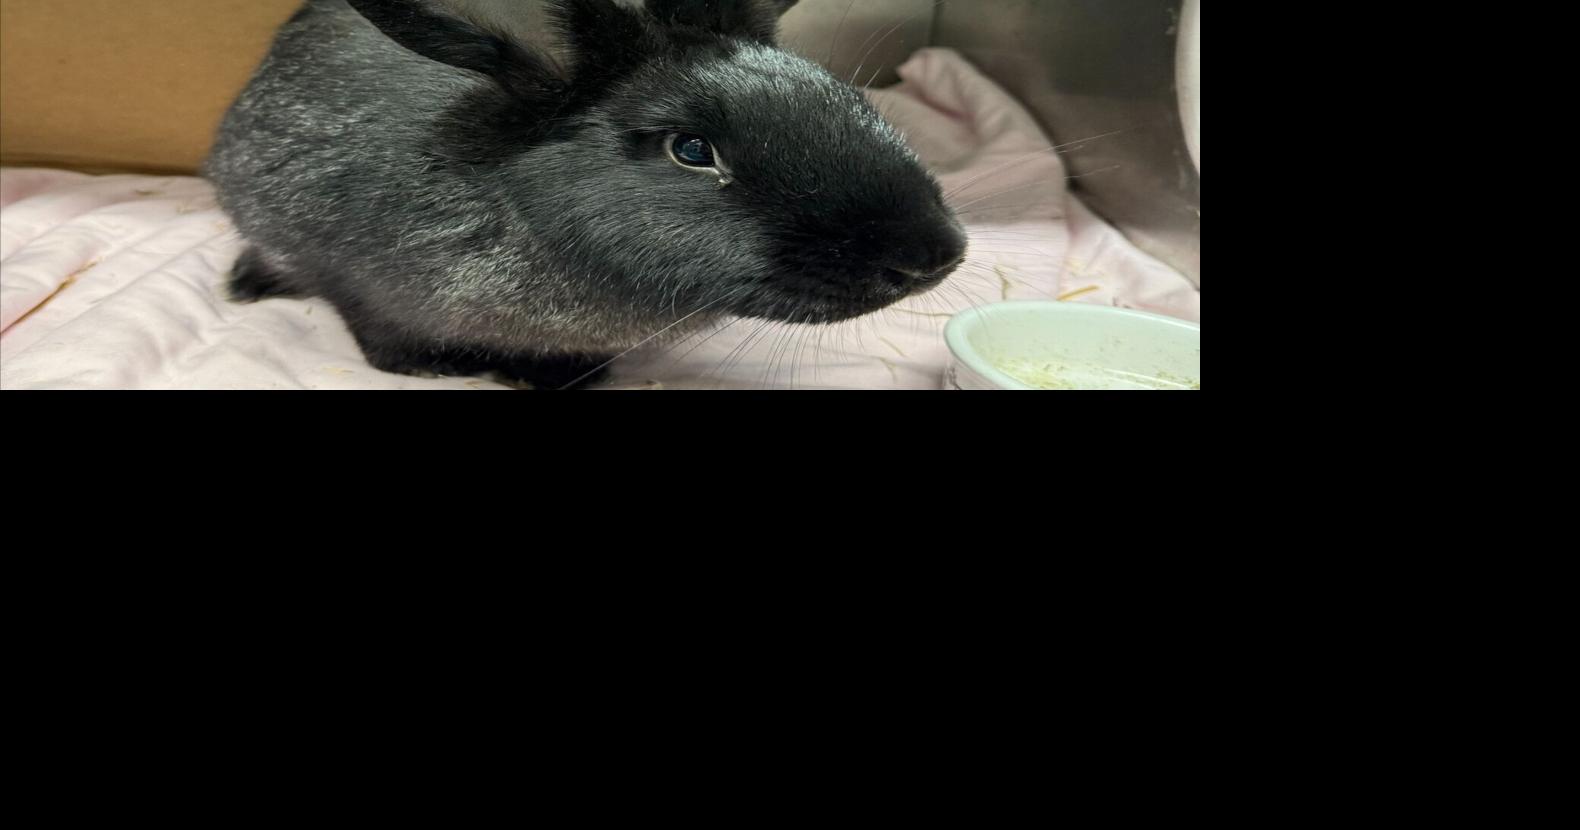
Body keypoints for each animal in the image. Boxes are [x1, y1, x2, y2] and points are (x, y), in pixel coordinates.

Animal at [206, 0, 967, 389]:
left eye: (847, 95)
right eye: (692, 150)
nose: (934, 255)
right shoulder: (353, 281)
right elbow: (378, 337)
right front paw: (438, 367)